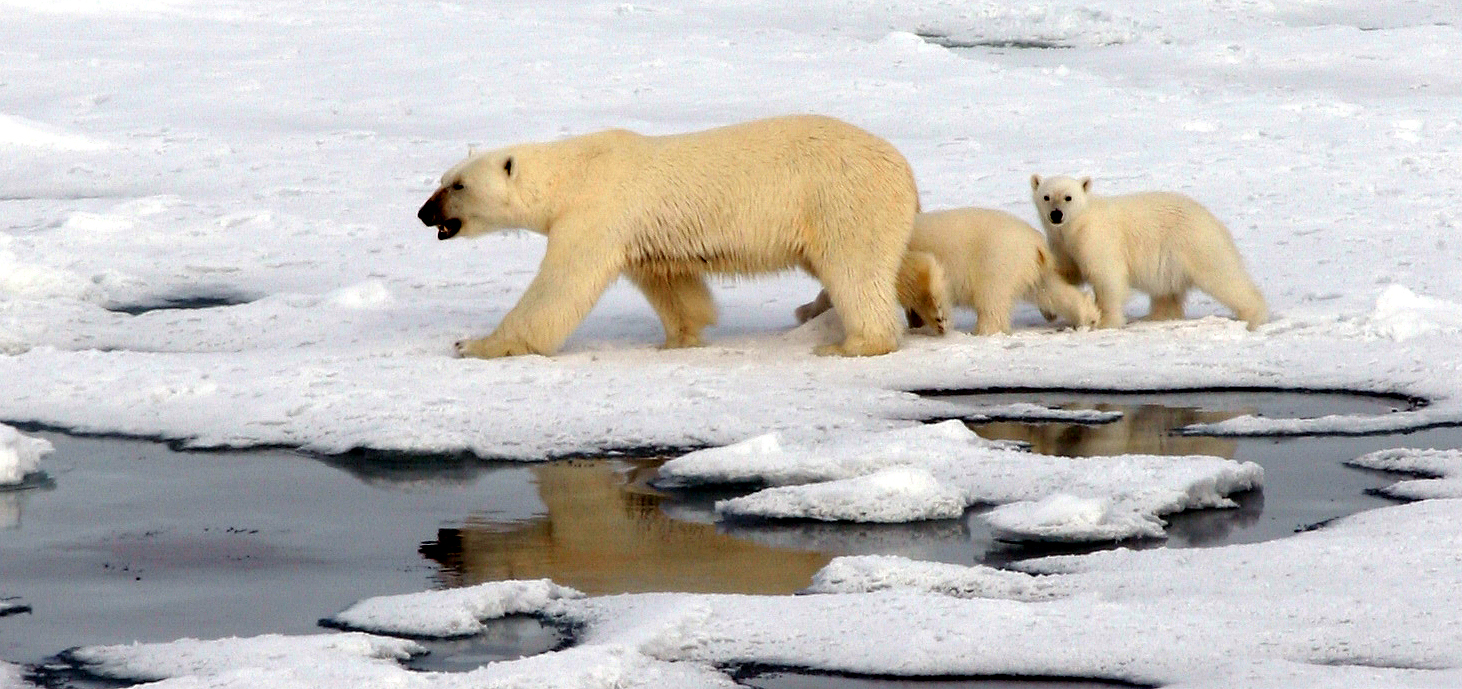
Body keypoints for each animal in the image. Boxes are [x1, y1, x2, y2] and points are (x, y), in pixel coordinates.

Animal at [418, 115, 912, 358]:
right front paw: (678, 338)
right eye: (442, 179)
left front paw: (473, 344)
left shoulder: (596, 212)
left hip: (842, 199)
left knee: (856, 269)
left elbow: (558, 289)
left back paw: (850, 344)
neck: (573, 173)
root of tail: (904, 168)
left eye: (458, 185)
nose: (424, 213)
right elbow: (670, 284)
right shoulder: (639, 234)